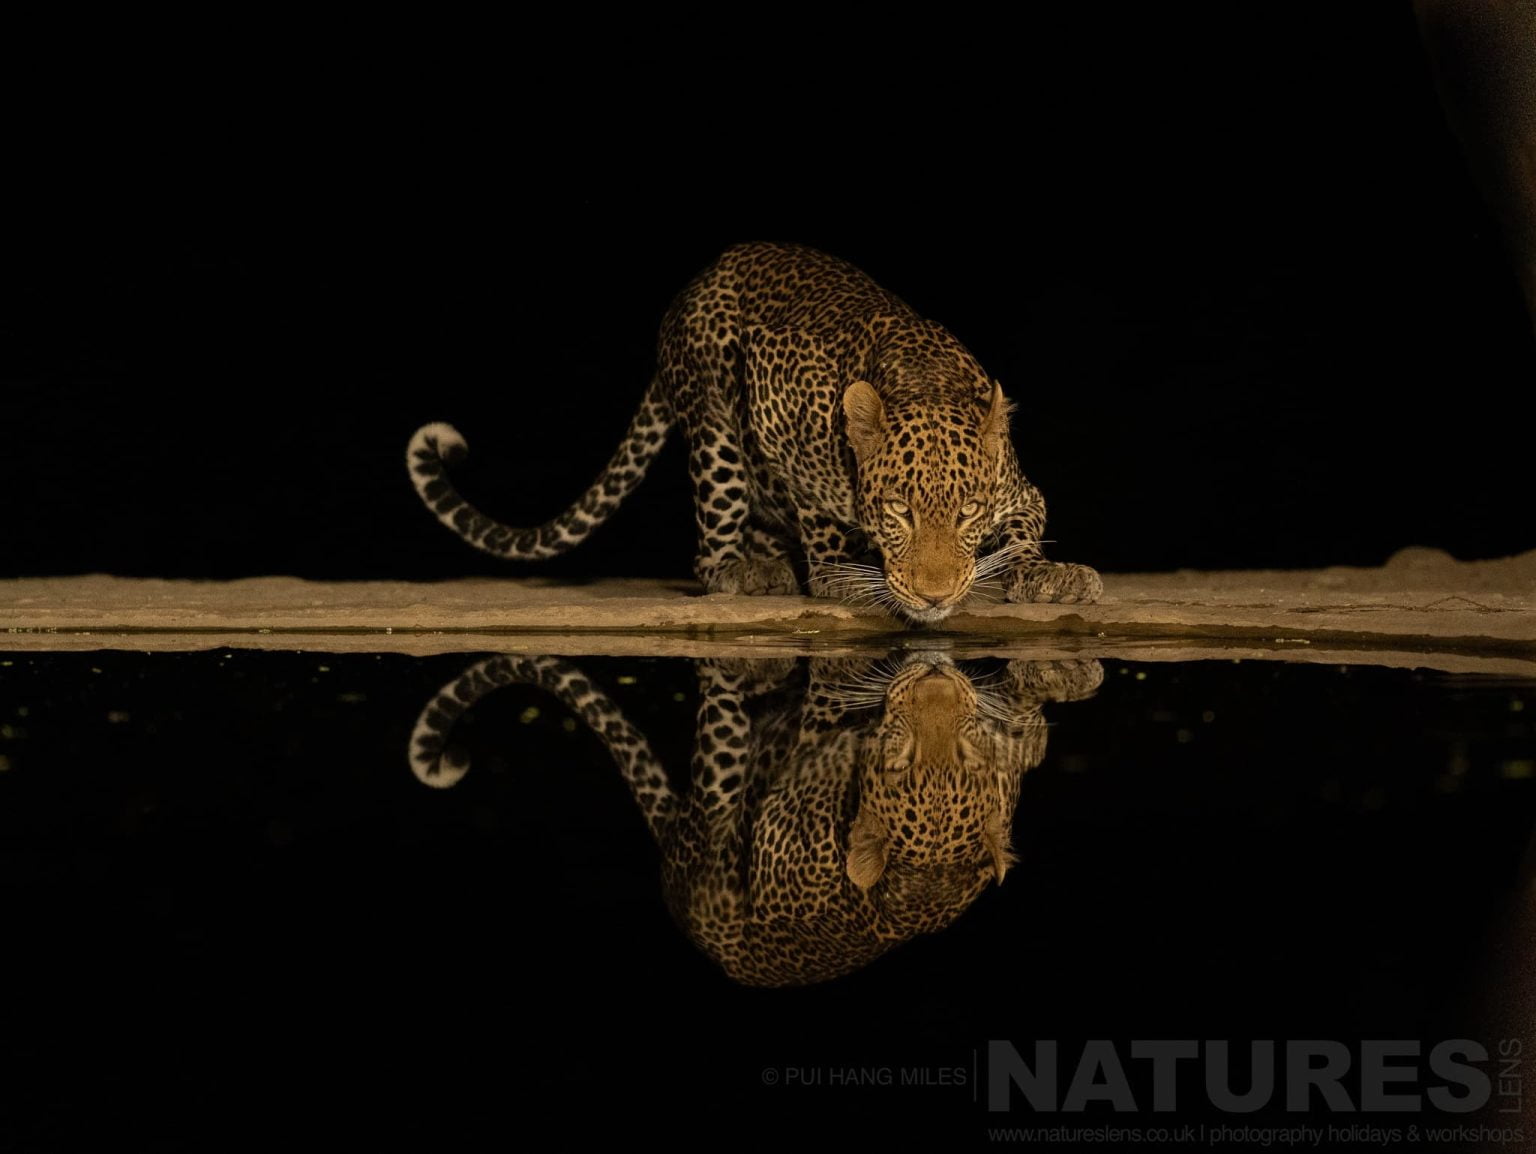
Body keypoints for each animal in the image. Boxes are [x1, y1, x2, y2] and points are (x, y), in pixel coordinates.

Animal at [407, 242, 1102, 623]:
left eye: (968, 511)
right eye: (898, 511)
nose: (934, 598)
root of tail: (698, 281)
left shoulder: (1020, 490)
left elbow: (1026, 528)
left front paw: (1047, 574)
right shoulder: (780, 410)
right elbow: (818, 513)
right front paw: (836, 572)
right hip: (714, 423)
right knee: (711, 547)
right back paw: (749, 571)